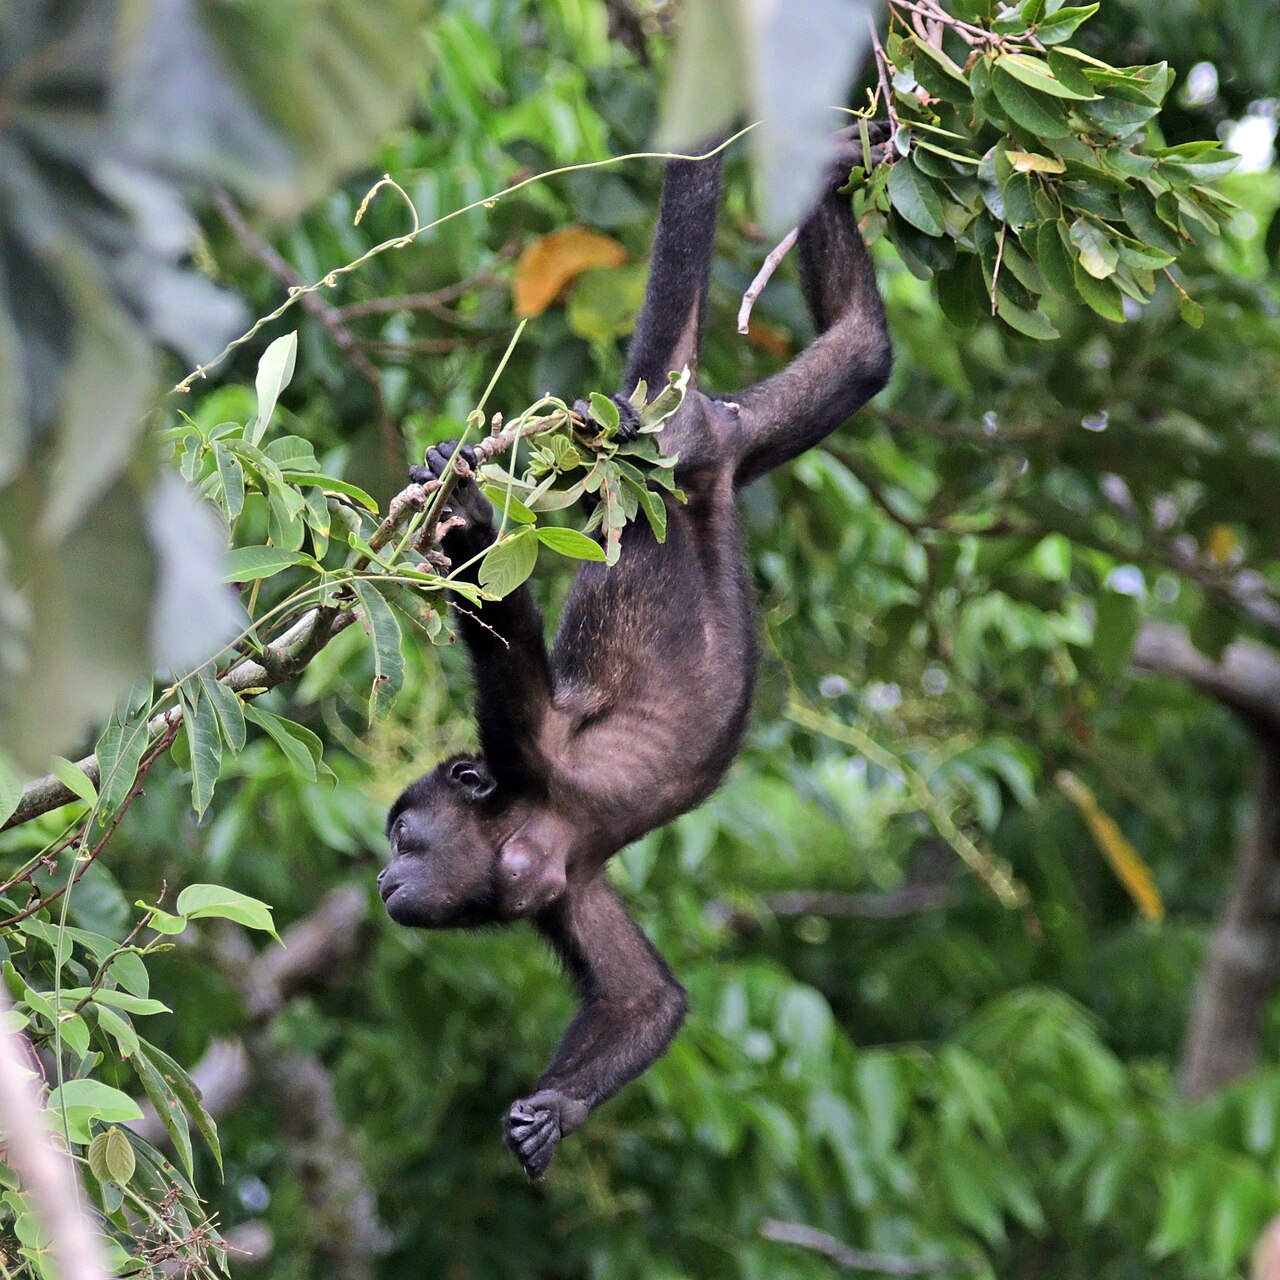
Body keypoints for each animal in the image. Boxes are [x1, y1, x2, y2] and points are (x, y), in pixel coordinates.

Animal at [380, 126, 894, 1179]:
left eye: (405, 839)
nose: (378, 883)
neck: (522, 830)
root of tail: (659, 431)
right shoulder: (562, 887)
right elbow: (646, 1001)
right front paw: (553, 1113)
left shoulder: (531, 751)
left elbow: (504, 631)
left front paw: (461, 513)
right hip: (736, 437)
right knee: (864, 352)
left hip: (679, 436)